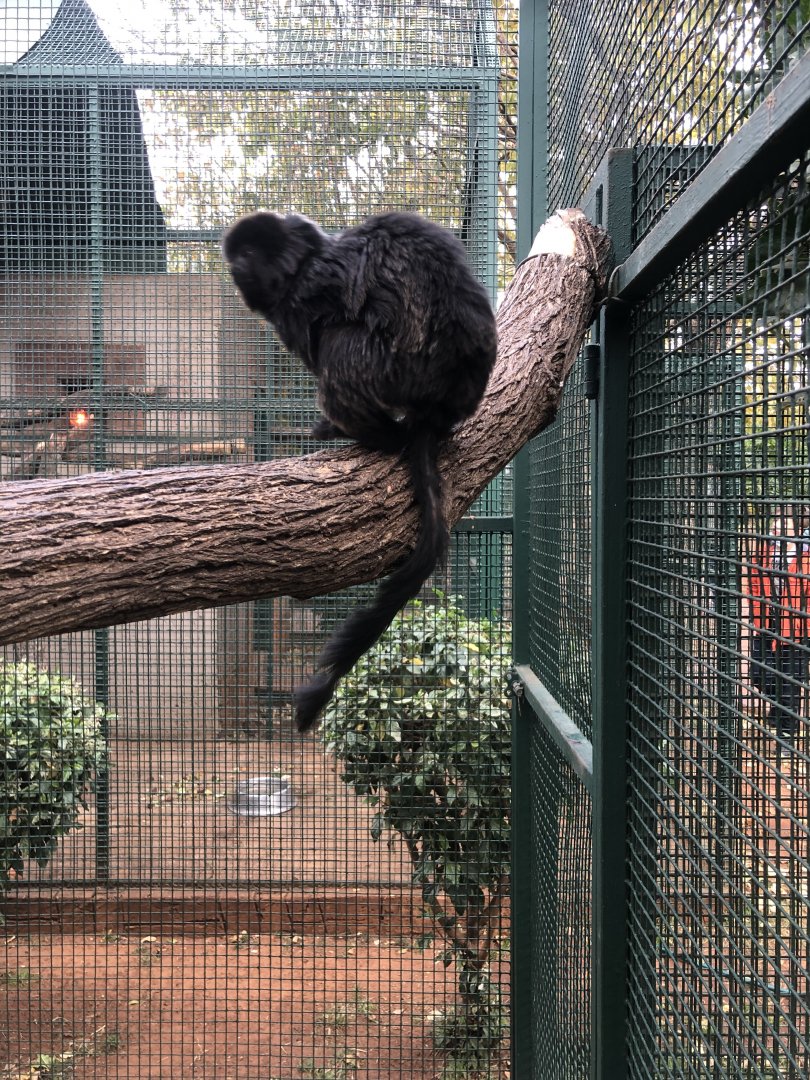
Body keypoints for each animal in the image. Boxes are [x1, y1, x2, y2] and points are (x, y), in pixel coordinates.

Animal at [222, 210, 497, 732]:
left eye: (245, 255)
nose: (236, 268)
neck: (306, 254)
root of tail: (441, 405)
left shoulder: (299, 301)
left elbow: (321, 338)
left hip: (393, 368)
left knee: (341, 348)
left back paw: (374, 435)